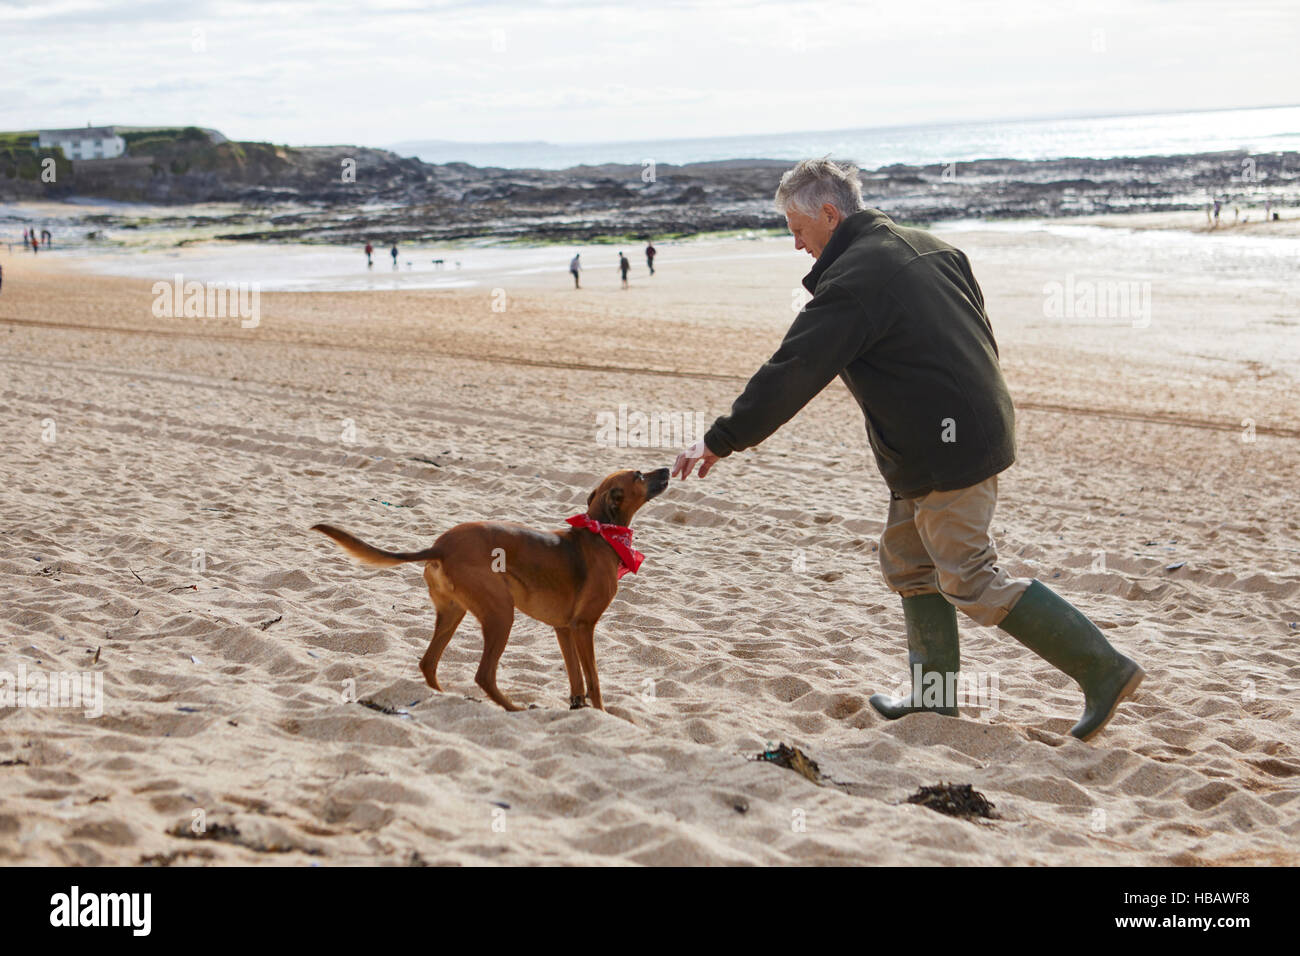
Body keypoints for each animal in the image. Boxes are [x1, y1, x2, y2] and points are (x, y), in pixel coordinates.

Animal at [308, 468, 665, 712]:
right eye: (639, 474)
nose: (665, 469)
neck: (601, 533)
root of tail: (440, 547)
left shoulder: (564, 629)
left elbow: (577, 678)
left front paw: (578, 708)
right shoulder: (583, 627)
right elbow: (594, 681)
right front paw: (601, 713)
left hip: (453, 613)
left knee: (428, 663)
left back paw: (443, 696)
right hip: (501, 614)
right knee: (483, 674)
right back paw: (513, 708)